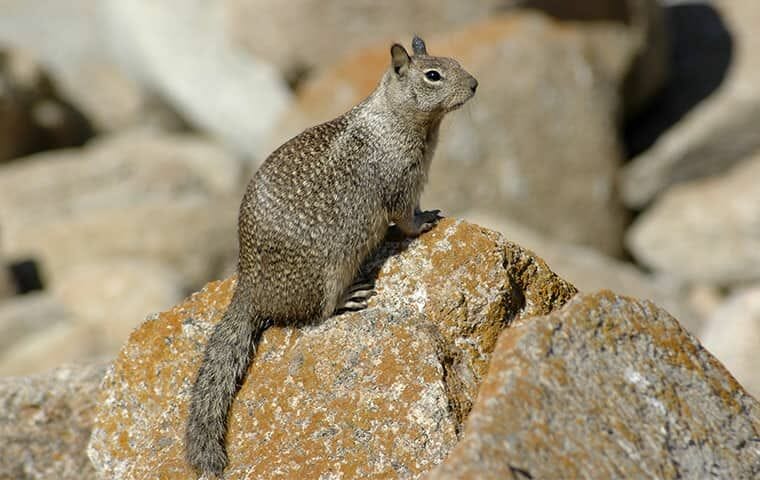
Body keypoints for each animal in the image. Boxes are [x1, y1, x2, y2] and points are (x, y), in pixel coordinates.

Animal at [184, 35, 476, 474]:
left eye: (454, 62)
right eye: (433, 75)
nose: (475, 84)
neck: (395, 119)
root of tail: (249, 288)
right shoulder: (400, 183)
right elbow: (405, 217)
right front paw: (425, 222)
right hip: (329, 272)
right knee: (317, 315)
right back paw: (348, 299)